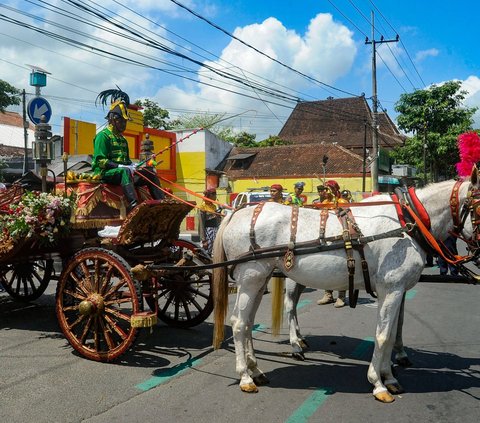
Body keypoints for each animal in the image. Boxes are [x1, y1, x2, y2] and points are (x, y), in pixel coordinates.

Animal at [213, 173, 480, 404]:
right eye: (478, 209)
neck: (409, 221)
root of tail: (235, 213)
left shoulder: (394, 290)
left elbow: (392, 332)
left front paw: (390, 376)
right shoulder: (392, 288)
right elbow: (383, 336)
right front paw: (378, 384)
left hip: (260, 279)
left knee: (249, 323)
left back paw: (256, 370)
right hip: (251, 277)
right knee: (240, 323)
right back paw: (246, 376)